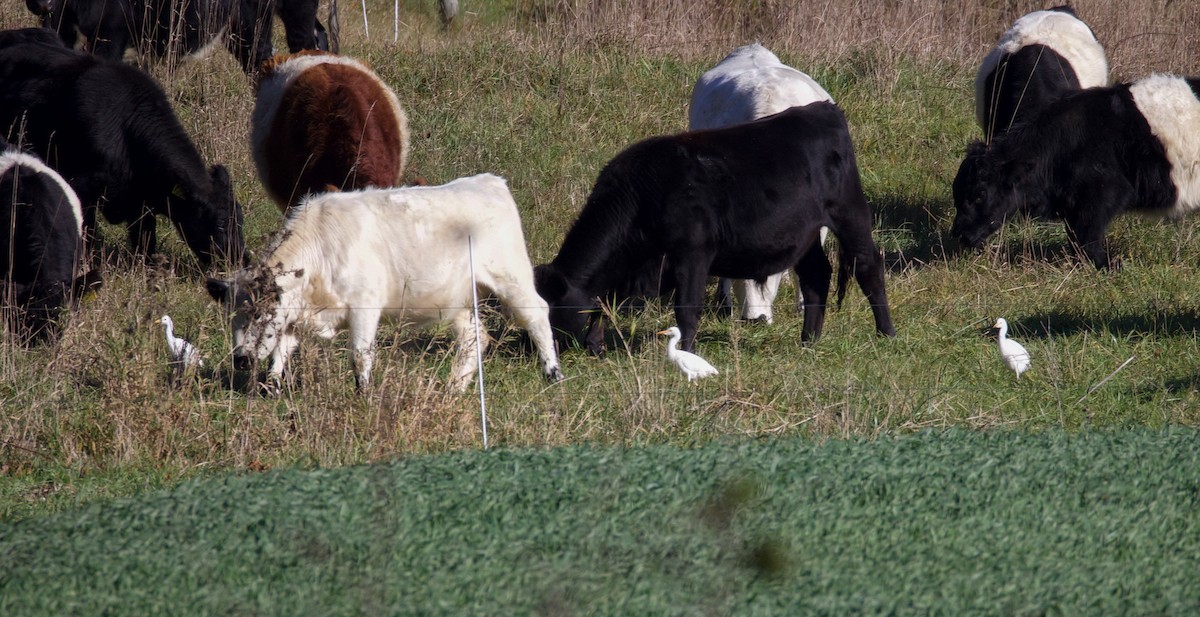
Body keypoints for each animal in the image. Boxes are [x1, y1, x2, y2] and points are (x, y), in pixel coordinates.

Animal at [0, 29, 245, 269]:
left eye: (240, 220)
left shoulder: (142, 204)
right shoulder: (82, 186)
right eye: (221, 223)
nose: (241, 259)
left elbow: (145, 240)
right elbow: (87, 230)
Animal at [206, 174, 565, 392]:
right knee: (475, 337)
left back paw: (552, 374)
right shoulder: (296, 315)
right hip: (459, 299)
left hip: (512, 276)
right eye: (232, 316)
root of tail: (490, 181)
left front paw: (363, 393)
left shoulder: (365, 305)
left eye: (260, 314)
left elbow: (360, 354)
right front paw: (272, 388)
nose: (240, 359)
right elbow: (280, 352)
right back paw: (455, 386)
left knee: (537, 313)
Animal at [534, 103, 896, 356]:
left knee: (868, 266)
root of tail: (823, 108)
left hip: (849, 211)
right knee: (816, 277)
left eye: (548, 314)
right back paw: (808, 341)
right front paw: (595, 345)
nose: (534, 348)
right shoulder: (636, 265)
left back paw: (886, 333)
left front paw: (687, 354)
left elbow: (686, 310)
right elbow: (606, 299)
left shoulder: (692, 252)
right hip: (805, 234)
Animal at [952, 73, 1200, 270]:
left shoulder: (1102, 193)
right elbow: (1076, 237)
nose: (959, 235)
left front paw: (1109, 265)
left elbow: (1086, 237)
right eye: (957, 196)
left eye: (980, 194)